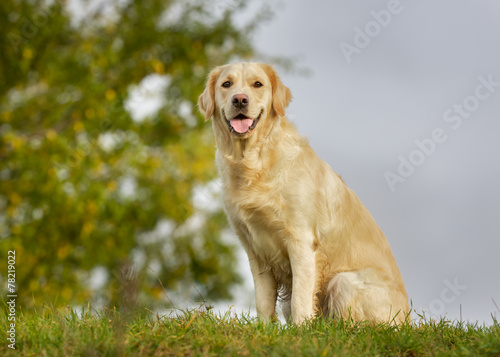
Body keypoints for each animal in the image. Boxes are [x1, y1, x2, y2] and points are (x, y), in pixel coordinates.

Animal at [197, 62, 408, 324]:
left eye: (258, 84)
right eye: (226, 84)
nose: (240, 100)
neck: (253, 162)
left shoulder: (301, 240)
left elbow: (300, 298)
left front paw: (301, 330)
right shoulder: (255, 249)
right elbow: (263, 301)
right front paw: (264, 329)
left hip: (343, 281)